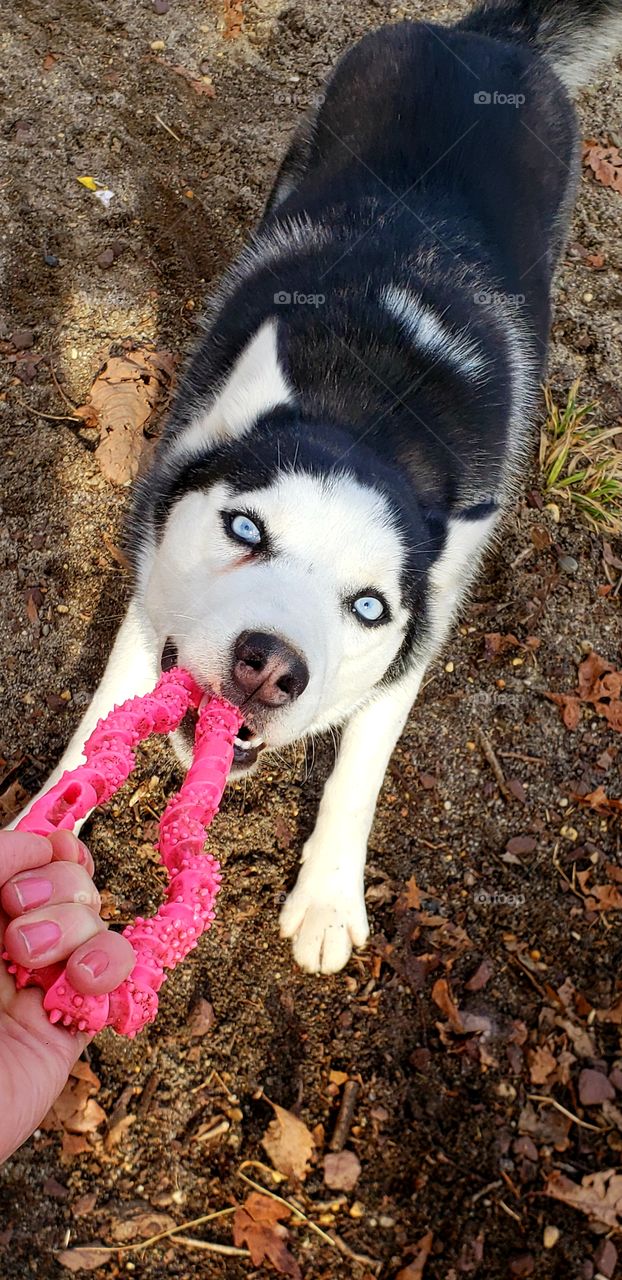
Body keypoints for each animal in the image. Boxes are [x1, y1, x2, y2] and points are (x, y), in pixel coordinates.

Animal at [20, 0, 622, 967]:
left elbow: (361, 766)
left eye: (370, 607)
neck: (370, 411)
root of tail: (489, 41)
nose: (271, 669)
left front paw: (330, 897)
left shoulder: (424, 631)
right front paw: (43, 829)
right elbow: (104, 715)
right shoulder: (155, 584)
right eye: (244, 530)